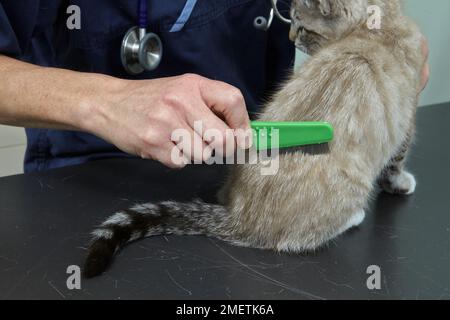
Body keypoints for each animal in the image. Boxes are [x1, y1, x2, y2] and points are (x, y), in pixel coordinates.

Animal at [82, 0, 424, 276]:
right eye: (293, 22)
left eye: (301, 26)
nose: (291, 37)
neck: (378, 27)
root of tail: (239, 214)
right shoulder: (407, 119)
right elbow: (396, 162)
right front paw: (401, 183)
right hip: (351, 185)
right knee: (294, 241)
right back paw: (352, 216)